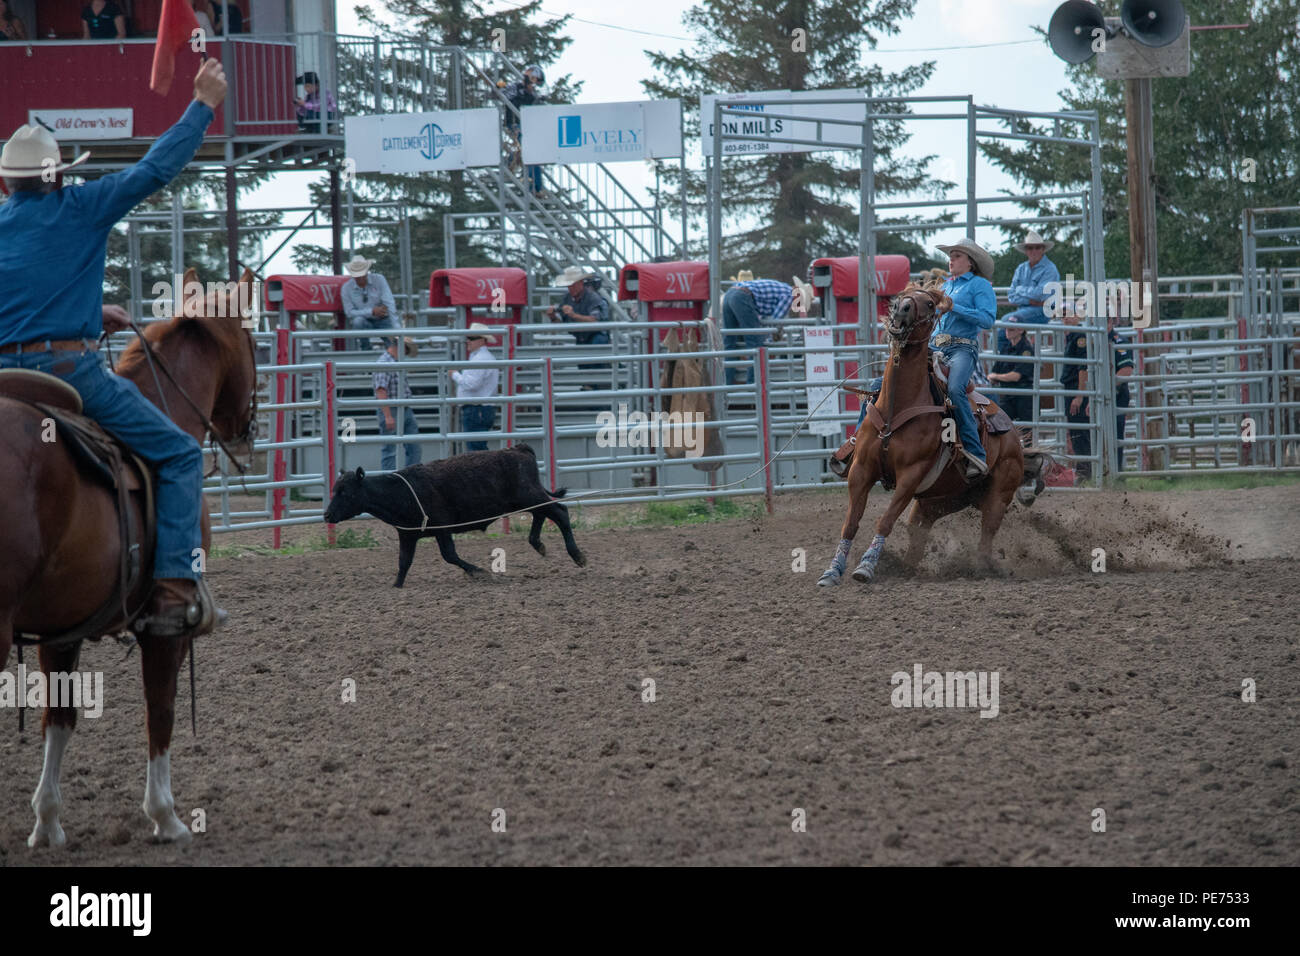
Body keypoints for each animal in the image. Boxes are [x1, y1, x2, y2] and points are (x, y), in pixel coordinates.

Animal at [0, 267, 258, 842]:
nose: (247, 430)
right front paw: (166, 816)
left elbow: (60, 718)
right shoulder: (167, 624)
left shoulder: (61, 626)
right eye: (255, 341)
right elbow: (159, 710)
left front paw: (47, 822)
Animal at [816, 280, 1029, 587]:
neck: (898, 406)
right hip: (939, 499)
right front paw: (832, 570)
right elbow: (851, 523)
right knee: (918, 532)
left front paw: (865, 567)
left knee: (986, 535)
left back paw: (981, 567)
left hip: (998, 495)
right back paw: (905, 568)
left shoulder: (911, 476)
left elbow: (885, 520)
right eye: (901, 296)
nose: (900, 310)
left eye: (929, 303)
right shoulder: (861, 470)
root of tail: (1014, 434)